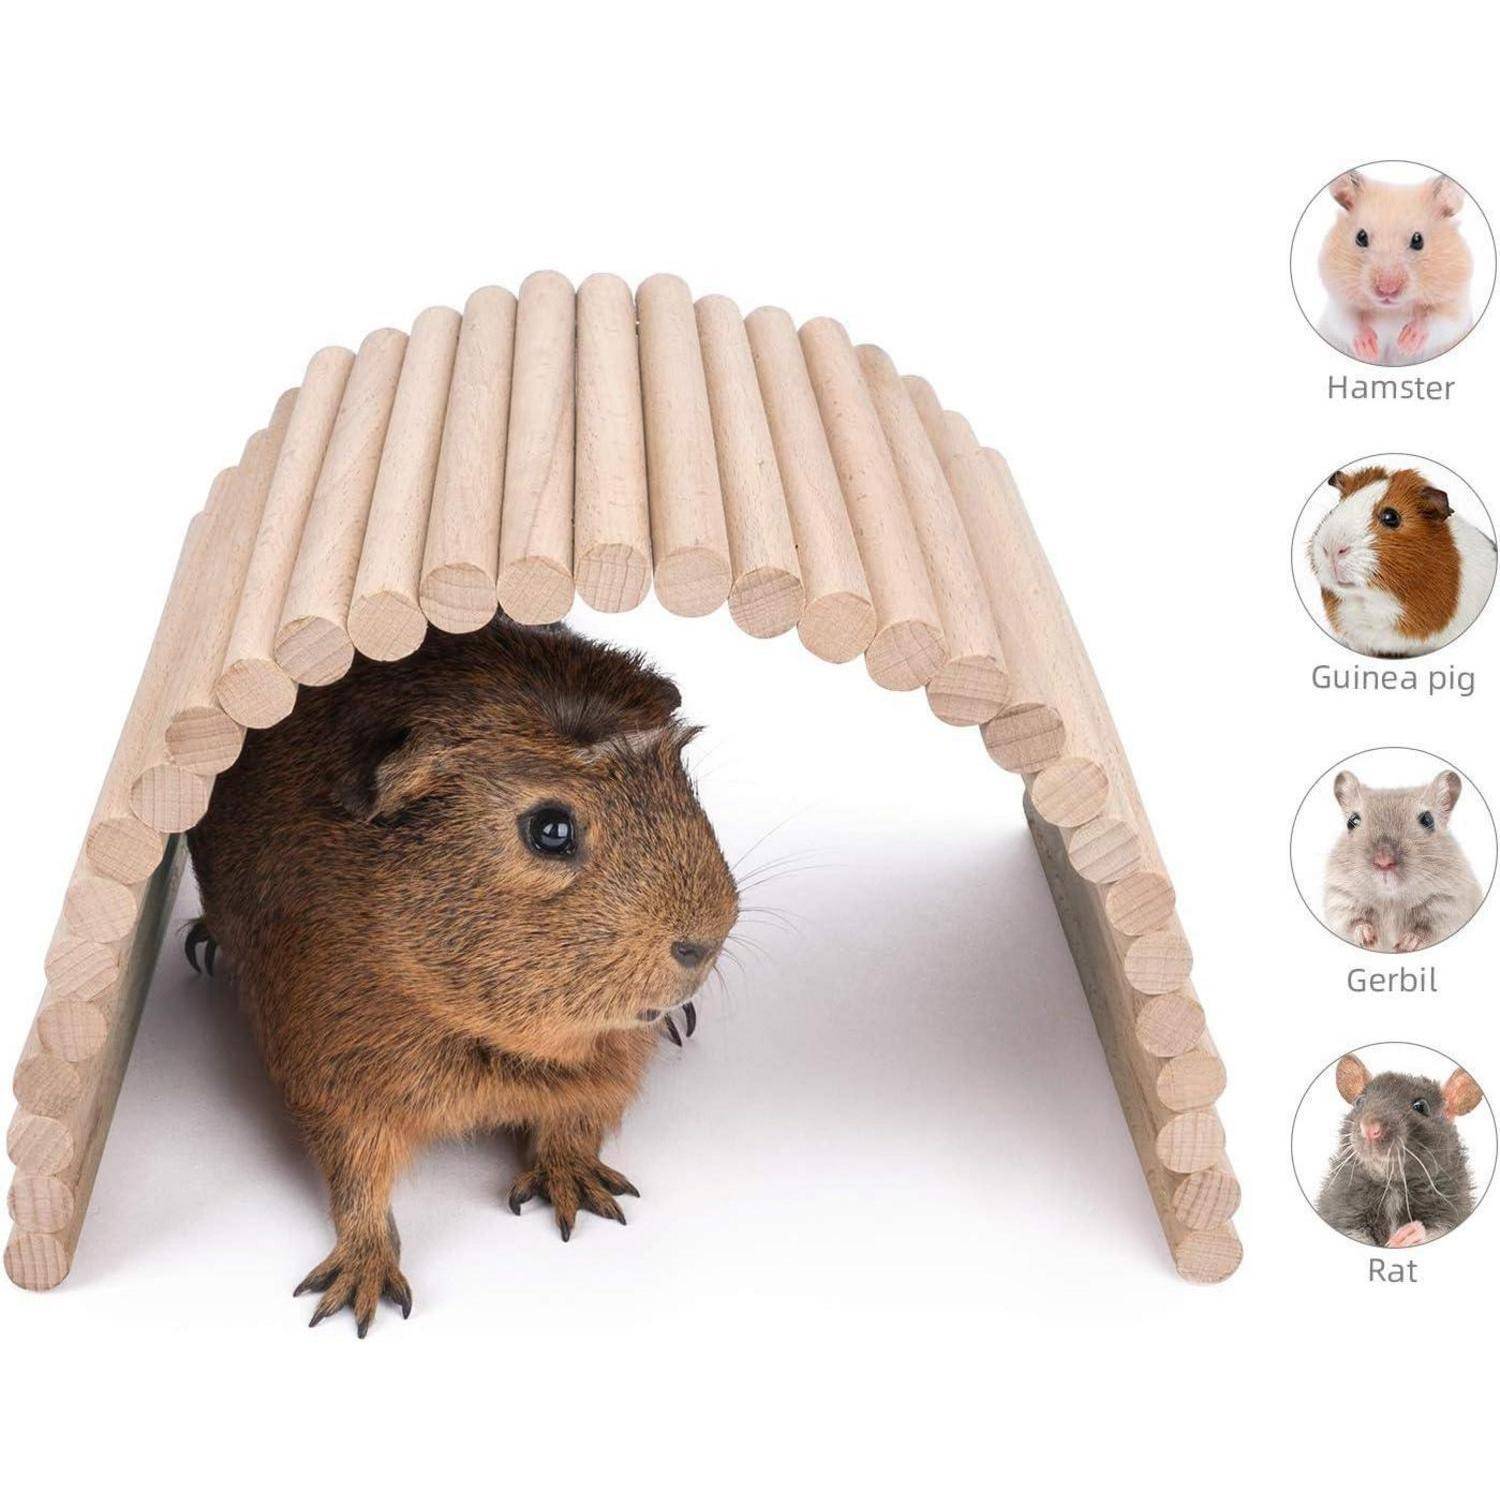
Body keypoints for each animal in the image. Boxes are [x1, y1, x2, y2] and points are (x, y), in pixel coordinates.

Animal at [186, 617, 740, 1335]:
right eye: (550, 829)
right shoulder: (334, 1078)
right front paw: (358, 1295)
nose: (705, 941)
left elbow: (578, 1122)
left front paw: (581, 1195)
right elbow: (357, 1182)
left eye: (683, 784)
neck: (497, 1051)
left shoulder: (611, 1067)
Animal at [1315, 1053, 1481, 1248]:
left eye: (1421, 1106)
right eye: (1359, 1101)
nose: (1369, 1129)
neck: (1393, 1185)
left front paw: (1410, 1234)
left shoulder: (1452, 1206)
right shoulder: (1342, 1207)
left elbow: (1437, 1228)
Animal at [1317, 170, 1474, 365]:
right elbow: (1349, 321)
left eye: (1418, 240)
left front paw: (1406, 343)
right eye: (1360, 237)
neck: (1392, 310)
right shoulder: (1337, 306)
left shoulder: (1456, 309)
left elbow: (1435, 320)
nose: (1387, 290)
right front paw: (1370, 350)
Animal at [1323, 769, 1483, 952]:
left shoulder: (1450, 905)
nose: (1383, 862)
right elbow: (1354, 922)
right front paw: (1367, 937)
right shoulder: (1340, 899)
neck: (1391, 899)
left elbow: (1427, 929)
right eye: (1352, 821)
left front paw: (1405, 944)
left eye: (1428, 820)